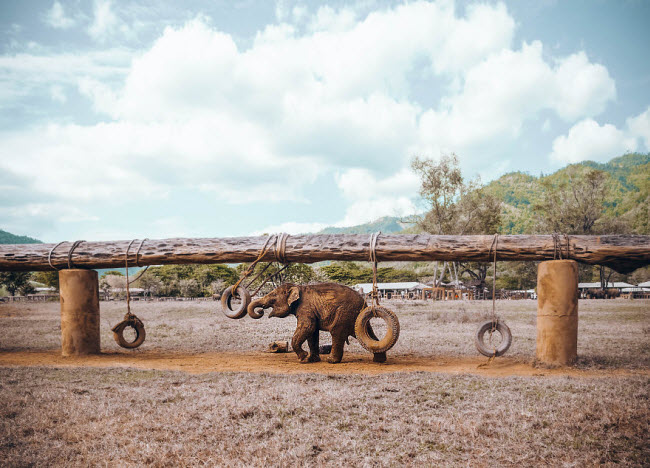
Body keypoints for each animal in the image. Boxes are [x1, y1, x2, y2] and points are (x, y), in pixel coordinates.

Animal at [246, 284, 382, 364]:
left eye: (273, 296)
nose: (261, 310)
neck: (297, 286)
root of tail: (364, 303)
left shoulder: (305, 307)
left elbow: (308, 327)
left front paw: (303, 358)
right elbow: (312, 332)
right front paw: (312, 360)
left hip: (345, 312)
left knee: (336, 332)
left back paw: (331, 361)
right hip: (356, 318)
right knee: (369, 335)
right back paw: (378, 360)